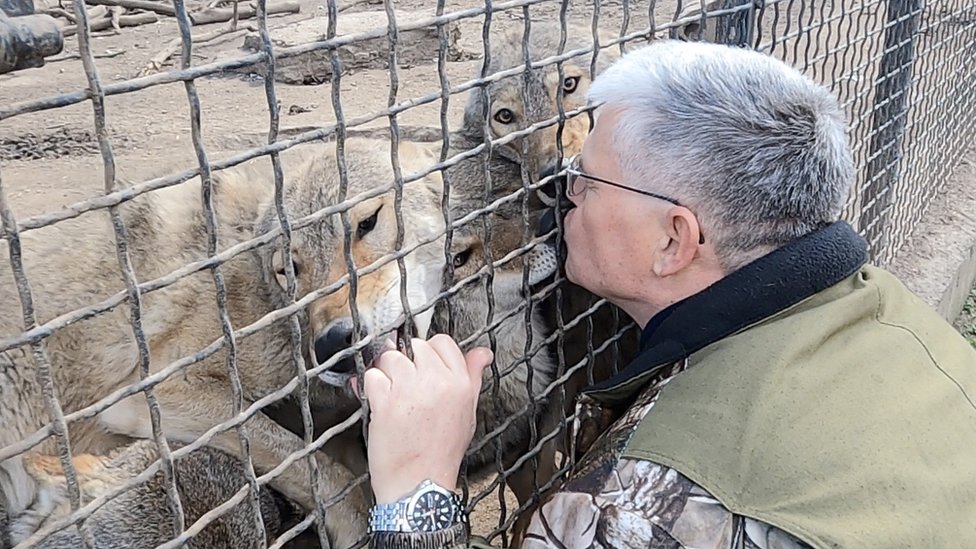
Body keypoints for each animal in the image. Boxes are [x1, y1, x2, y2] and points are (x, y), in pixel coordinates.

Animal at [0, 138, 448, 548]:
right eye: (288, 269)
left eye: (367, 222)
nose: (332, 347)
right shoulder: (147, 396)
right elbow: (303, 460)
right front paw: (355, 519)